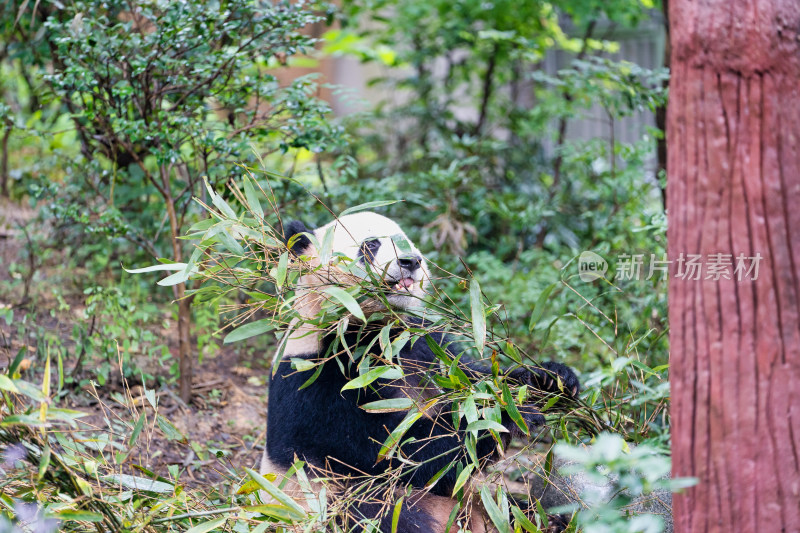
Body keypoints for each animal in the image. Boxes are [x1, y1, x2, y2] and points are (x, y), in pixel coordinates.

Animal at [262, 210, 580, 528]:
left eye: (406, 242)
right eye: (371, 245)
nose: (410, 261)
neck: (372, 329)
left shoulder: (423, 343)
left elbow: (470, 378)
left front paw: (550, 380)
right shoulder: (320, 377)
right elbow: (400, 451)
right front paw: (507, 413)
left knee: (516, 510)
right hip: (325, 500)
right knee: (379, 513)